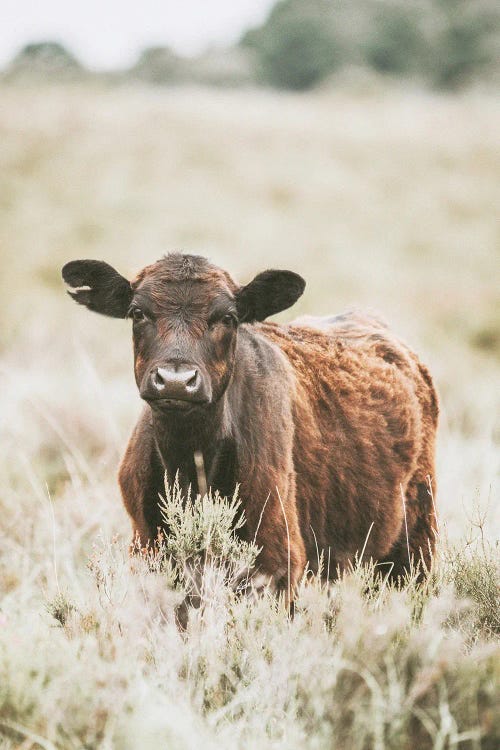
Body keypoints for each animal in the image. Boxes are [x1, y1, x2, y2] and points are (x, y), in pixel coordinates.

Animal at [61, 253, 438, 600]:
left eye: (227, 317)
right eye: (138, 313)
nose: (176, 381)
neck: (190, 462)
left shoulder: (277, 559)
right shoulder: (147, 550)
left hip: (415, 544)